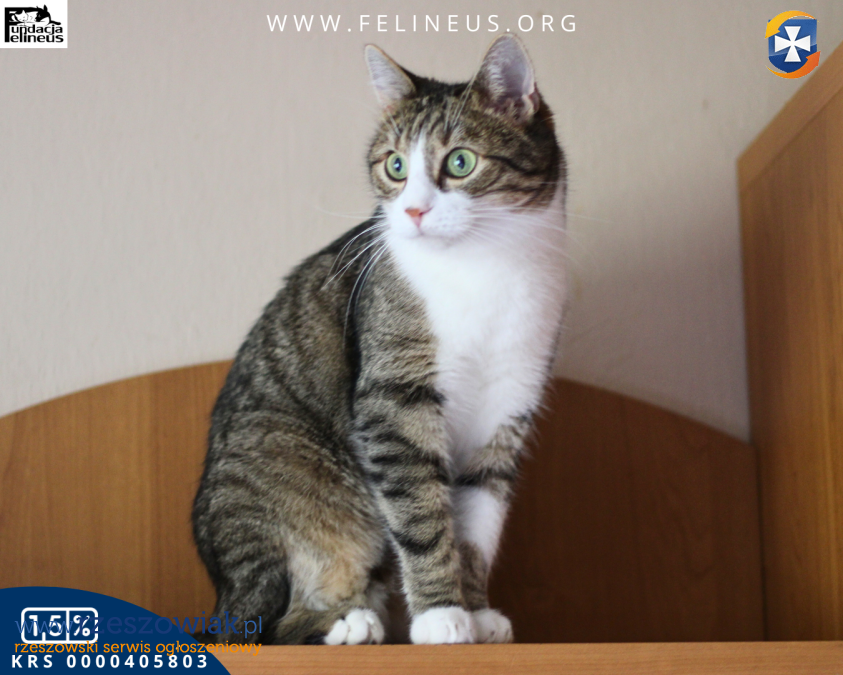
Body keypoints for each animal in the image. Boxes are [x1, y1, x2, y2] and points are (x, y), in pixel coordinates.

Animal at [192, 34, 568, 645]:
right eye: (395, 166)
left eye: (460, 162)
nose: (413, 210)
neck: (486, 268)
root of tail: (225, 584)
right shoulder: (393, 398)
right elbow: (421, 512)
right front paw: (441, 615)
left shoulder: (508, 402)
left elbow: (476, 523)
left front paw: (476, 611)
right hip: (284, 477)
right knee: (264, 625)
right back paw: (347, 622)